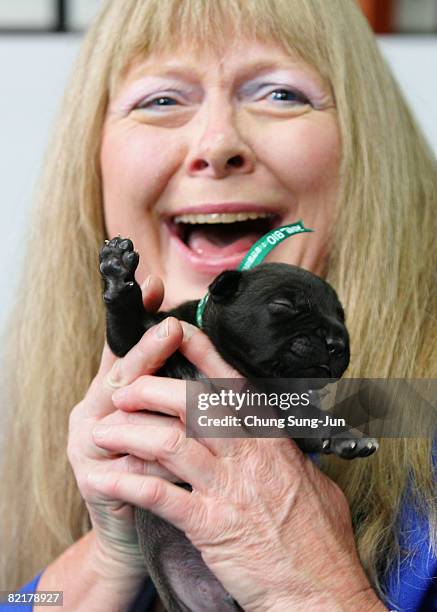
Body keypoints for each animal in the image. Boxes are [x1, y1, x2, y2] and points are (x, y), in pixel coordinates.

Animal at [99, 235, 378, 612]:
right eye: (284, 305)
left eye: (341, 316)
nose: (337, 343)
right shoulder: (148, 343)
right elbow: (127, 328)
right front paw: (117, 272)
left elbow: (307, 416)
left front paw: (346, 435)